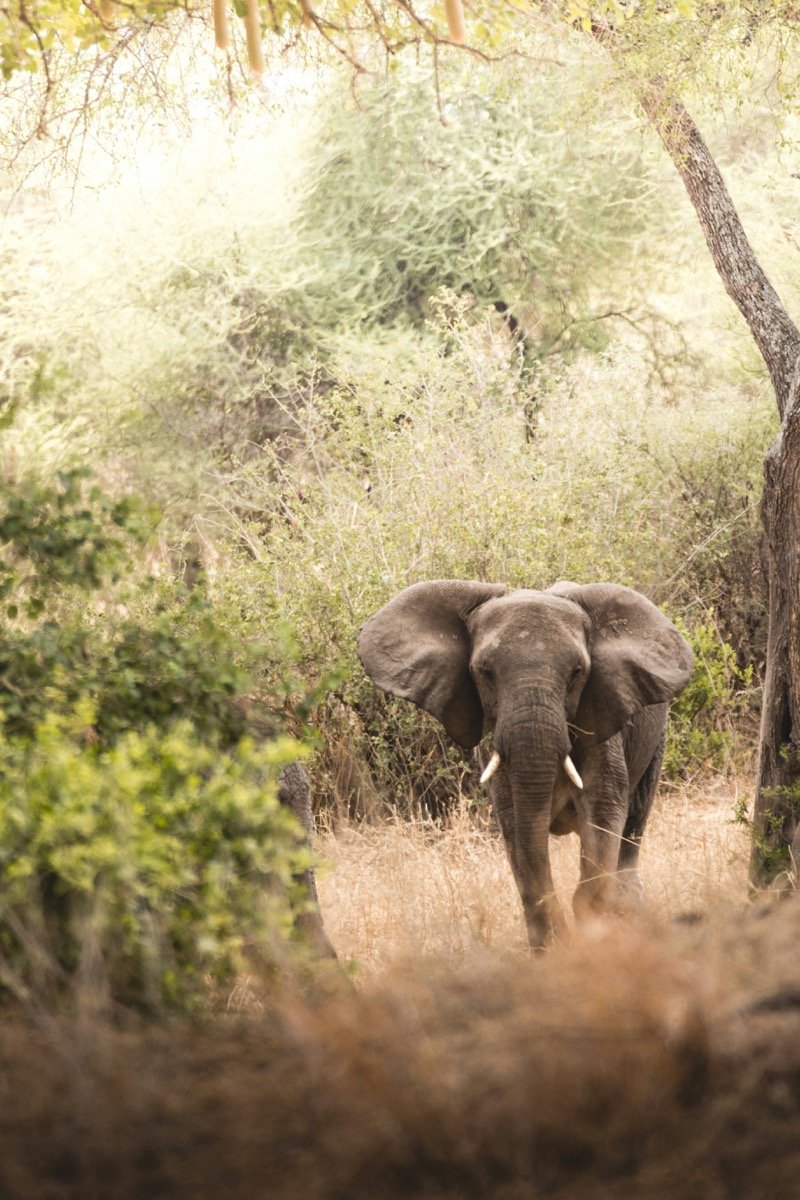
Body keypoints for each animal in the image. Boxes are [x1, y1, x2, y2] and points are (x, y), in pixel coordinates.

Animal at [358, 580, 694, 949]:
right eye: (485, 673)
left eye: (578, 672)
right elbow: (516, 827)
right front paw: (553, 947)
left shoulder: (603, 726)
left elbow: (604, 814)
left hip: (656, 738)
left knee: (634, 821)